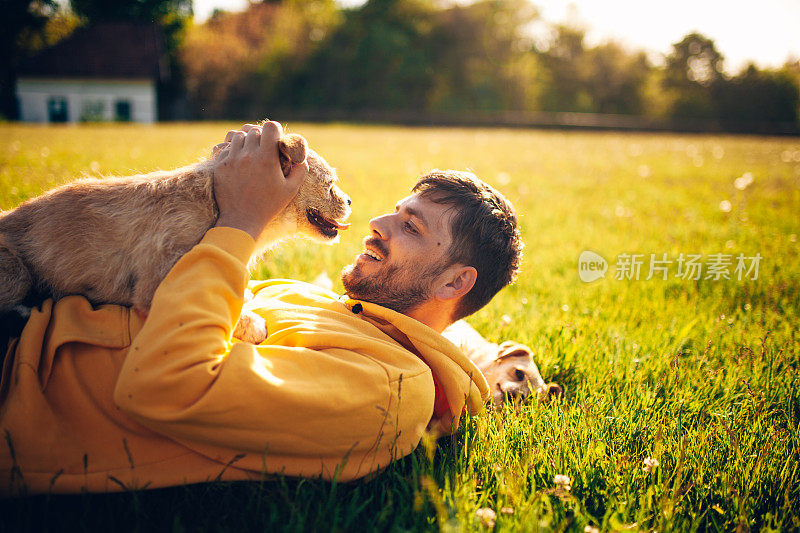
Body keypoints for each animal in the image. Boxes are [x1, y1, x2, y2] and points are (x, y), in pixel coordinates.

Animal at [0, 132, 350, 340]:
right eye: (330, 183)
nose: (350, 202)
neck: (215, 203)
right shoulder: (156, 283)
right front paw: (252, 323)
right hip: (15, 271)